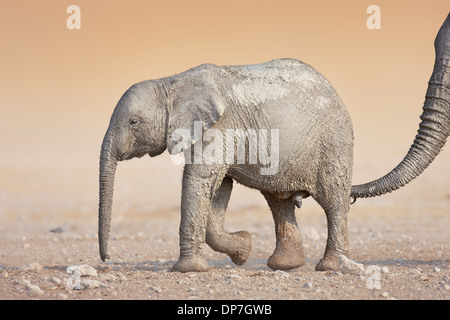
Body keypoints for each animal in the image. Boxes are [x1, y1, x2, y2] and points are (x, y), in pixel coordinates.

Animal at [98, 11, 450, 274]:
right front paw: (243, 248)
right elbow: (218, 187)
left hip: (334, 142)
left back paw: (332, 267)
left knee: (333, 201)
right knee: (279, 200)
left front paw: (190, 270)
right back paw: (285, 266)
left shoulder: (221, 126)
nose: (107, 259)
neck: (172, 81)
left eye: (133, 123)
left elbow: (200, 180)